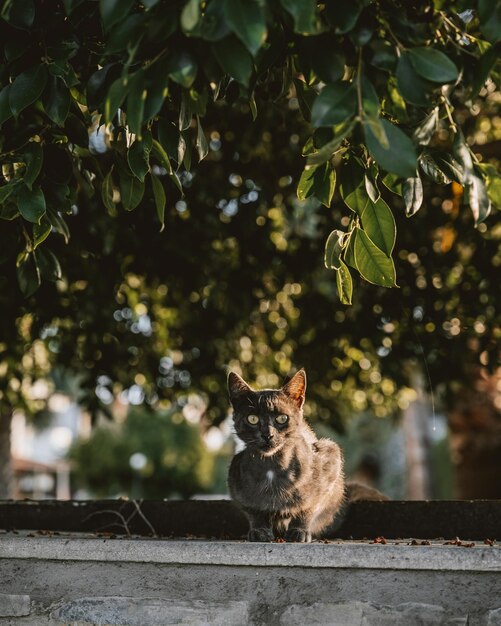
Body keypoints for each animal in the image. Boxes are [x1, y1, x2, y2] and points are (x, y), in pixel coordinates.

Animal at [227, 368, 344, 540]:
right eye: (252, 419)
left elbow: (308, 506)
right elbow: (254, 510)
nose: (267, 435)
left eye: (282, 418)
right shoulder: (236, 479)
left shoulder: (330, 458)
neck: (271, 466)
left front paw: (299, 531)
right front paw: (259, 530)